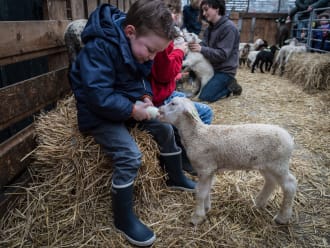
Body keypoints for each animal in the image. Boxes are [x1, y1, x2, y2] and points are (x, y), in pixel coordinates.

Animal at [159, 97, 298, 227]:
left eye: (173, 104)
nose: (159, 110)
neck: (196, 135)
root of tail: (289, 139)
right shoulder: (210, 169)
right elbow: (207, 189)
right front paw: (206, 208)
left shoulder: (205, 168)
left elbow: (200, 192)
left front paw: (197, 217)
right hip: (266, 165)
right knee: (271, 181)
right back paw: (259, 203)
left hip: (278, 164)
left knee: (290, 184)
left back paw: (282, 217)